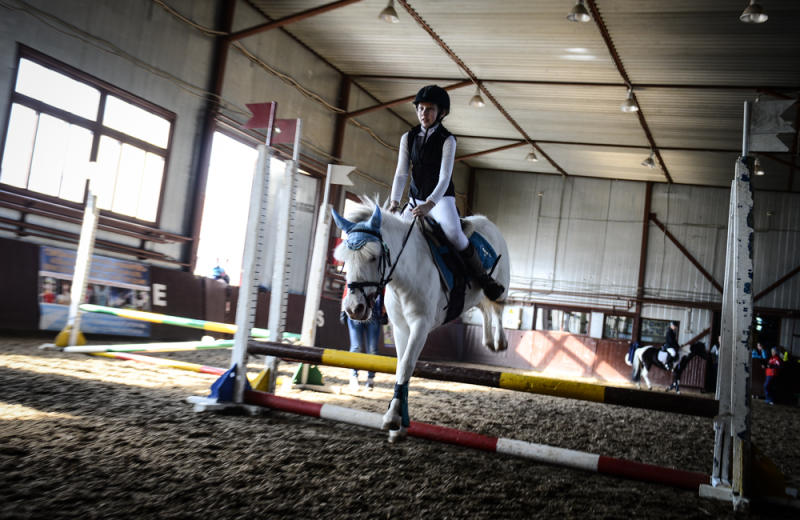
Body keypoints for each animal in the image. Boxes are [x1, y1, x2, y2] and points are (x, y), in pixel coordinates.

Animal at [332, 197, 510, 440]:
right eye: (346, 260)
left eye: (373, 257)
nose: (353, 309)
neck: (405, 273)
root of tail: (487, 222)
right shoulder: (400, 327)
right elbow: (401, 366)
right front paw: (399, 426)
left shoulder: (420, 324)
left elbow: (407, 364)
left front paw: (392, 418)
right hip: (475, 295)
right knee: (484, 308)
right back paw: (488, 341)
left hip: (500, 285)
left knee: (498, 306)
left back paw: (499, 342)